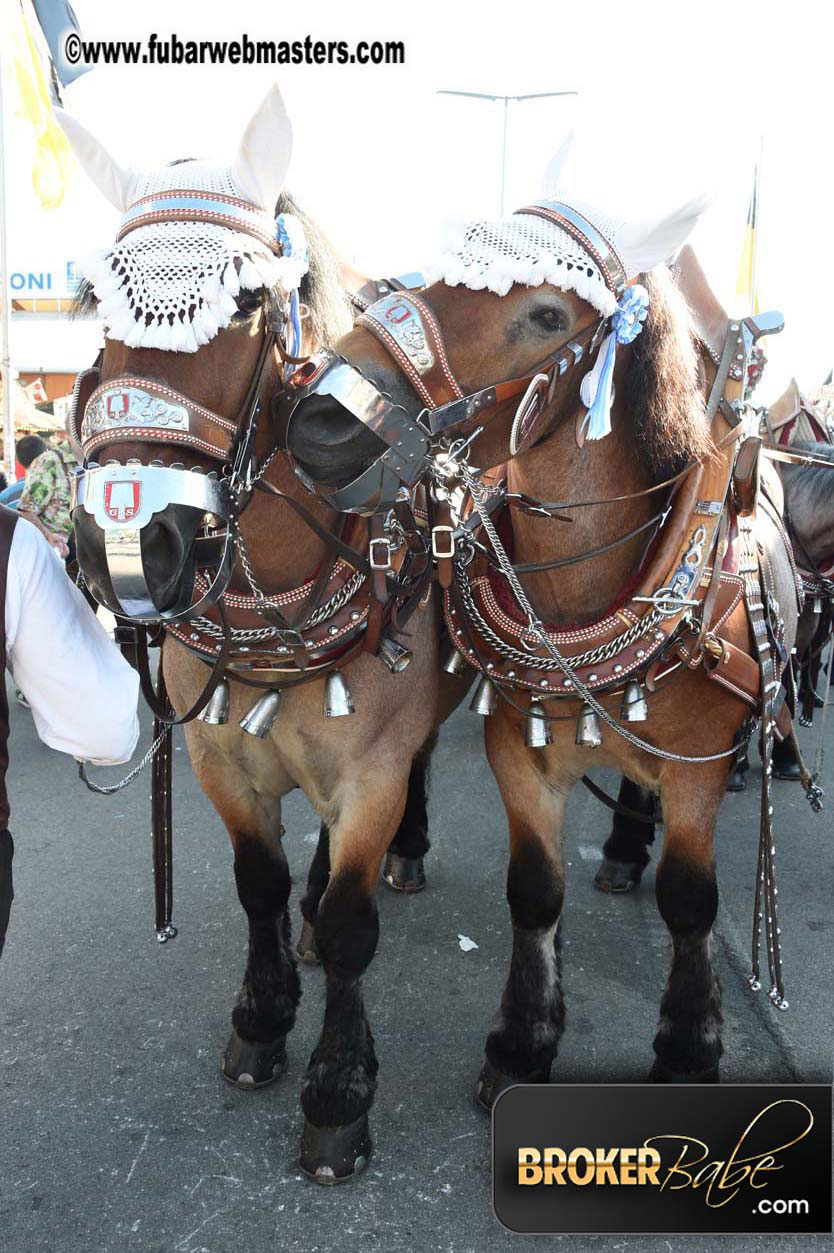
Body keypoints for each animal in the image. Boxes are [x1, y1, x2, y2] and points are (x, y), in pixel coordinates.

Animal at [58, 90, 450, 1182]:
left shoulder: (372, 764)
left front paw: (338, 1090)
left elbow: (353, 922)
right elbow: (259, 882)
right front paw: (264, 1018)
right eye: (91, 304)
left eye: (242, 303)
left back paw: (406, 852)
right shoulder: (219, 754)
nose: (128, 538)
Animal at [300, 218, 801, 1097]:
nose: (324, 420)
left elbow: (689, 900)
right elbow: (534, 890)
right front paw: (522, 1039)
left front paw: (687, 1046)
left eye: (544, 315)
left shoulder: (701, 761)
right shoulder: (519, 750)